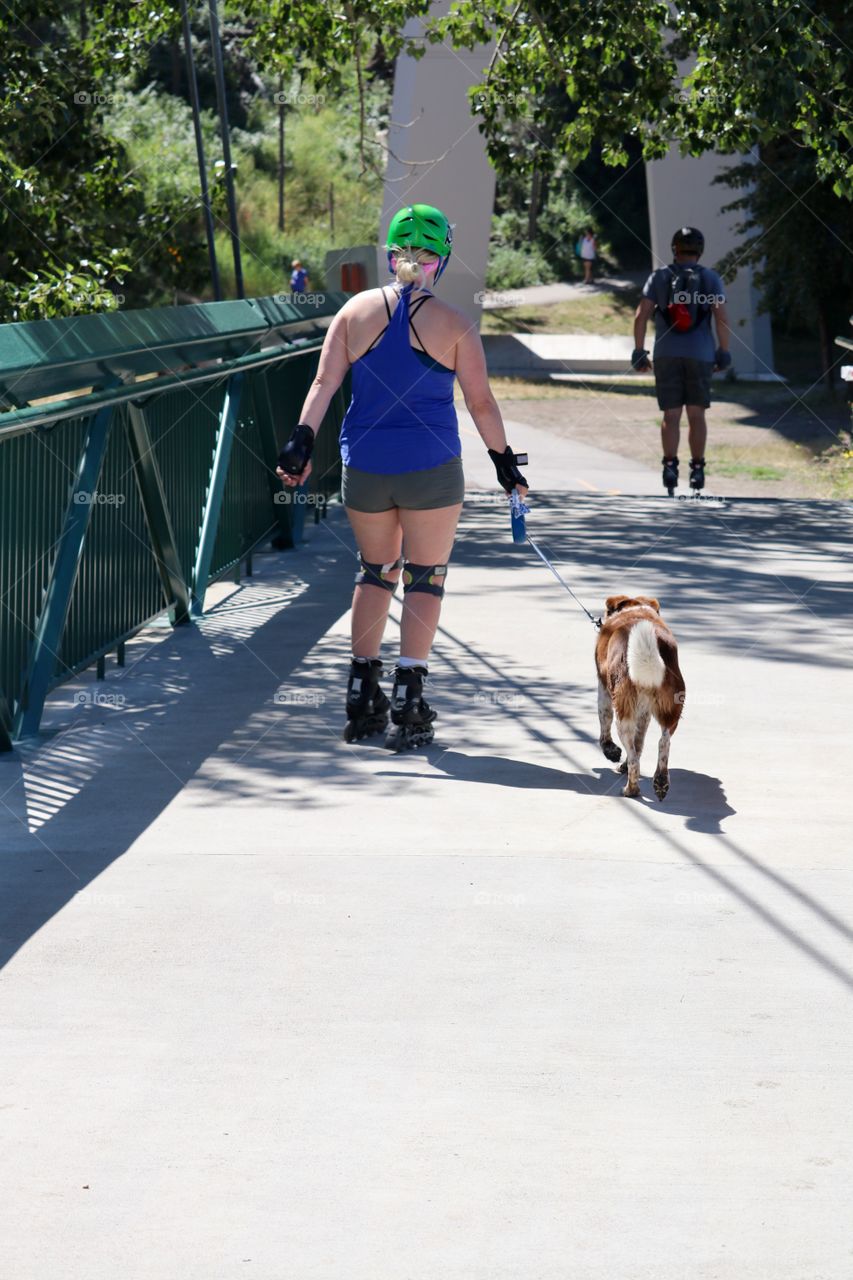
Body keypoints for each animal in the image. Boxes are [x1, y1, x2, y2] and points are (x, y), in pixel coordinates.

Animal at [591, 591, 686, 793]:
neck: (634, 608)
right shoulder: (644, 713)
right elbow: (639, 743)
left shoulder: (603, 688)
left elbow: (604, 720)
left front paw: (610, 751)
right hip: (671, 708)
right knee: (663, 742)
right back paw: (660, 781)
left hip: (623, 715)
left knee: (634, 759)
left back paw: (631, 789)